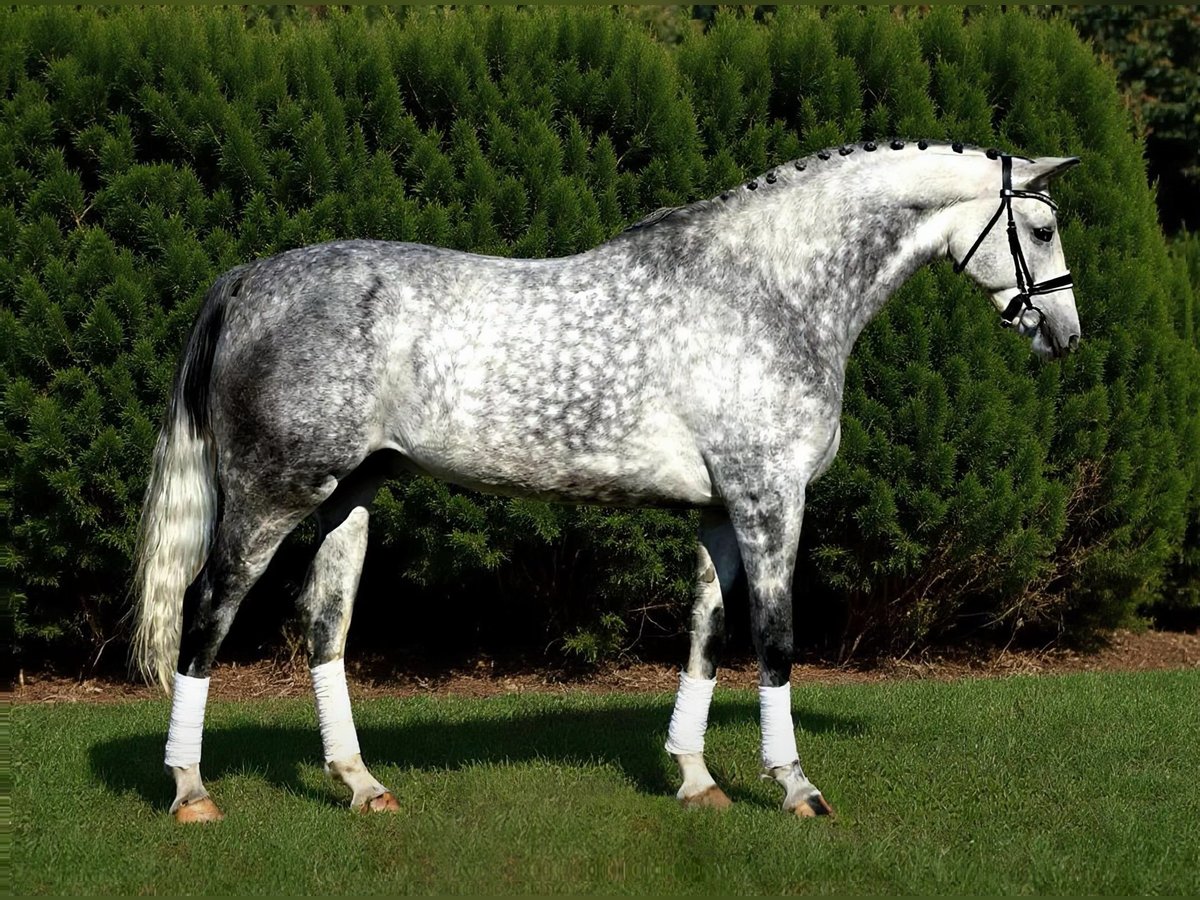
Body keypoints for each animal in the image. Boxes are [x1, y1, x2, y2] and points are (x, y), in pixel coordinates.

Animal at [132, 140, 1082, 822]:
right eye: (1040, 231)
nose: (1065, 335)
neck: (766, 291)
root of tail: (249, 278)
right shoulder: (770, 502)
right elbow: (774, 641)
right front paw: (795, 787)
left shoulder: (718, 513)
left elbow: (705, 637)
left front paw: (697, 781)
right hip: (272, 496)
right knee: (206, 615)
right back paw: (191, 792)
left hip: (347, 498)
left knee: (322, 628)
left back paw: (362, 787)